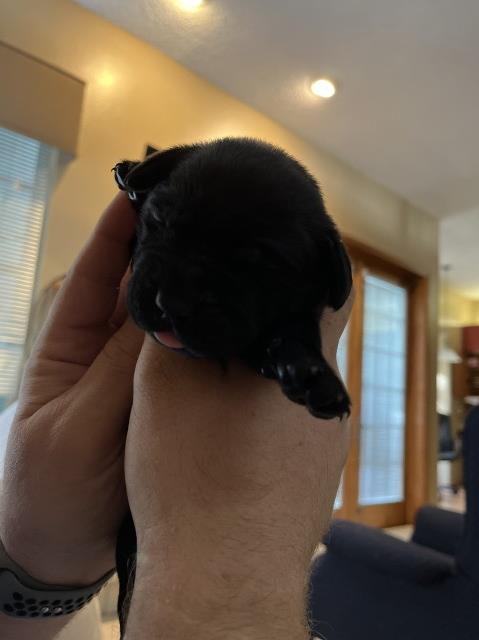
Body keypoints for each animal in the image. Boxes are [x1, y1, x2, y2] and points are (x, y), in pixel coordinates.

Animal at [111, 138, 352, 632]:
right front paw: (132, 172)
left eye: (261, 263)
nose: (172, 301)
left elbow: (292, 332)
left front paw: (312, 376)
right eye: (159, 221)